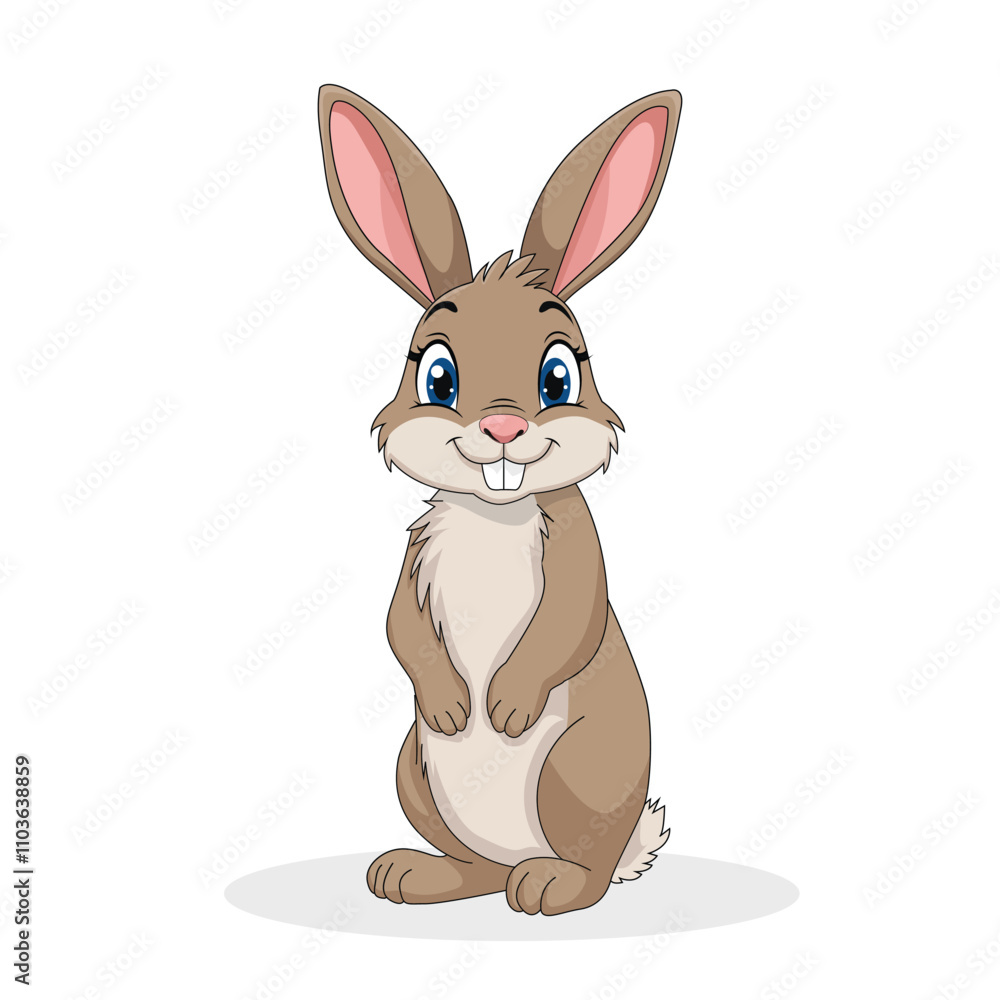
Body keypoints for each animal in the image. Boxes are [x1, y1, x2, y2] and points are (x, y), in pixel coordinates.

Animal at [318, 84, 681, 915]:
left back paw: (548, 886)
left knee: (584, 876)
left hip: (574, 770)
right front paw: (455, 708)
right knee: (475, 868)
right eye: (437, 377)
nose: (505, 426)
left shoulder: (576, 551)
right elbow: (401, 626)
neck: (495, 510)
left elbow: (571, 618)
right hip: (413, 771)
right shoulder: (417, 556)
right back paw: (412, 874)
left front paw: (506, 706)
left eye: (559, 377)